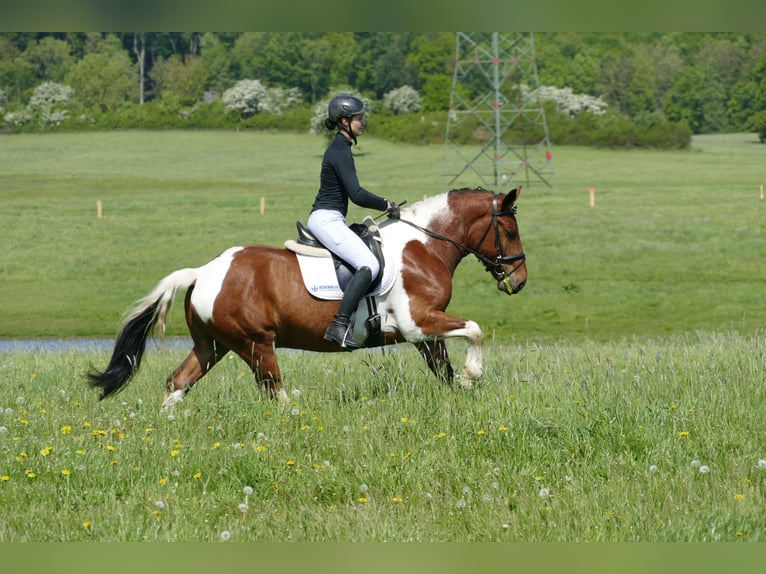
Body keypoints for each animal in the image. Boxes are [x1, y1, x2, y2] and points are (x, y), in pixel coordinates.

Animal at [86, 186, 527, 409]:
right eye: (509, 230)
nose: (519, 280)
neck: (424, 246)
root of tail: (203, 272)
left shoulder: (425, 333)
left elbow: (443, 370)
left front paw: (461, 393)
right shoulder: (418, 322)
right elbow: (475, 330)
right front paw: (473, 376)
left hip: (212, 345)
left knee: (177, 382)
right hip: (255, 344)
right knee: (274, 392)